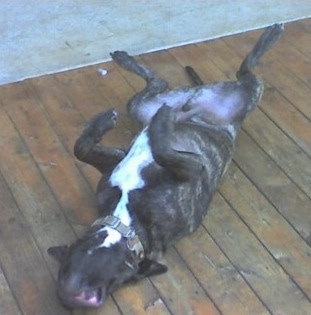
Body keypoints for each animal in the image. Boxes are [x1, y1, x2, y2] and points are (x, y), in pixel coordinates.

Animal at [48, 24, 286, 308]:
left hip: (141, 107)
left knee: (157, 83)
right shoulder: (193, 167)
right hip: (245, 96)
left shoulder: (112, 161)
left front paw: (103, 122)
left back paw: (125, 61)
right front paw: (162, 124)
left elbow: (81, 148)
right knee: (246, 72)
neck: (127, 224)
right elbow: (161, 151)